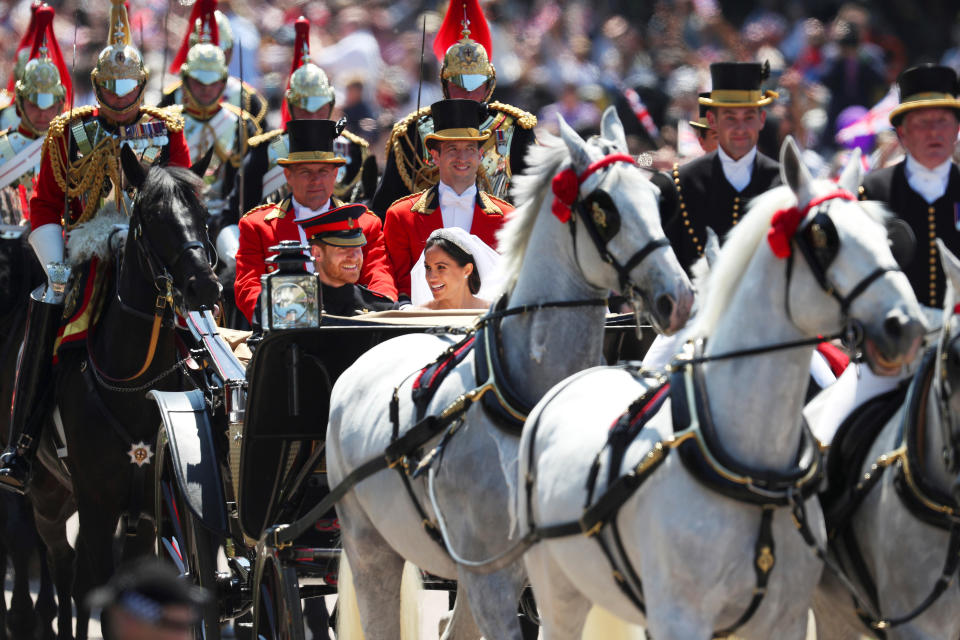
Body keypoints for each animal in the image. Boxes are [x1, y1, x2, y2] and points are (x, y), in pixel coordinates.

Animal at [49, 148, 219, 636]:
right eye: (154, 216)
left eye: (203, 214)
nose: (206, 286)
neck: (133, 386)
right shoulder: (98, 505)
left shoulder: (150, 507)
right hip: (48, 499)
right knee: (64, 570)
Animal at [516, 140, 928, 640]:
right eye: (824, 238)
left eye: (885, 237)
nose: (906, 326)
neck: (749, 467)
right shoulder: (678, 616)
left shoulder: (785, 618)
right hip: (557, 585)